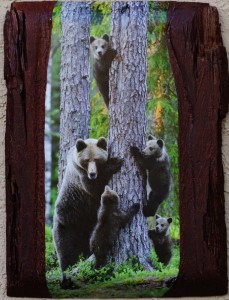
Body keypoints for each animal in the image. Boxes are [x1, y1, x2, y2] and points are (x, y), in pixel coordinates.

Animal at [52, 137, 122, 288]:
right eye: (86, 160)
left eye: (96, 159)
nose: (92, 173)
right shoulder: (80, 175)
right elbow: (95, 187)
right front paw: (115, 162)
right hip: (67, 223)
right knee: (66, 252)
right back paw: (67, 276)